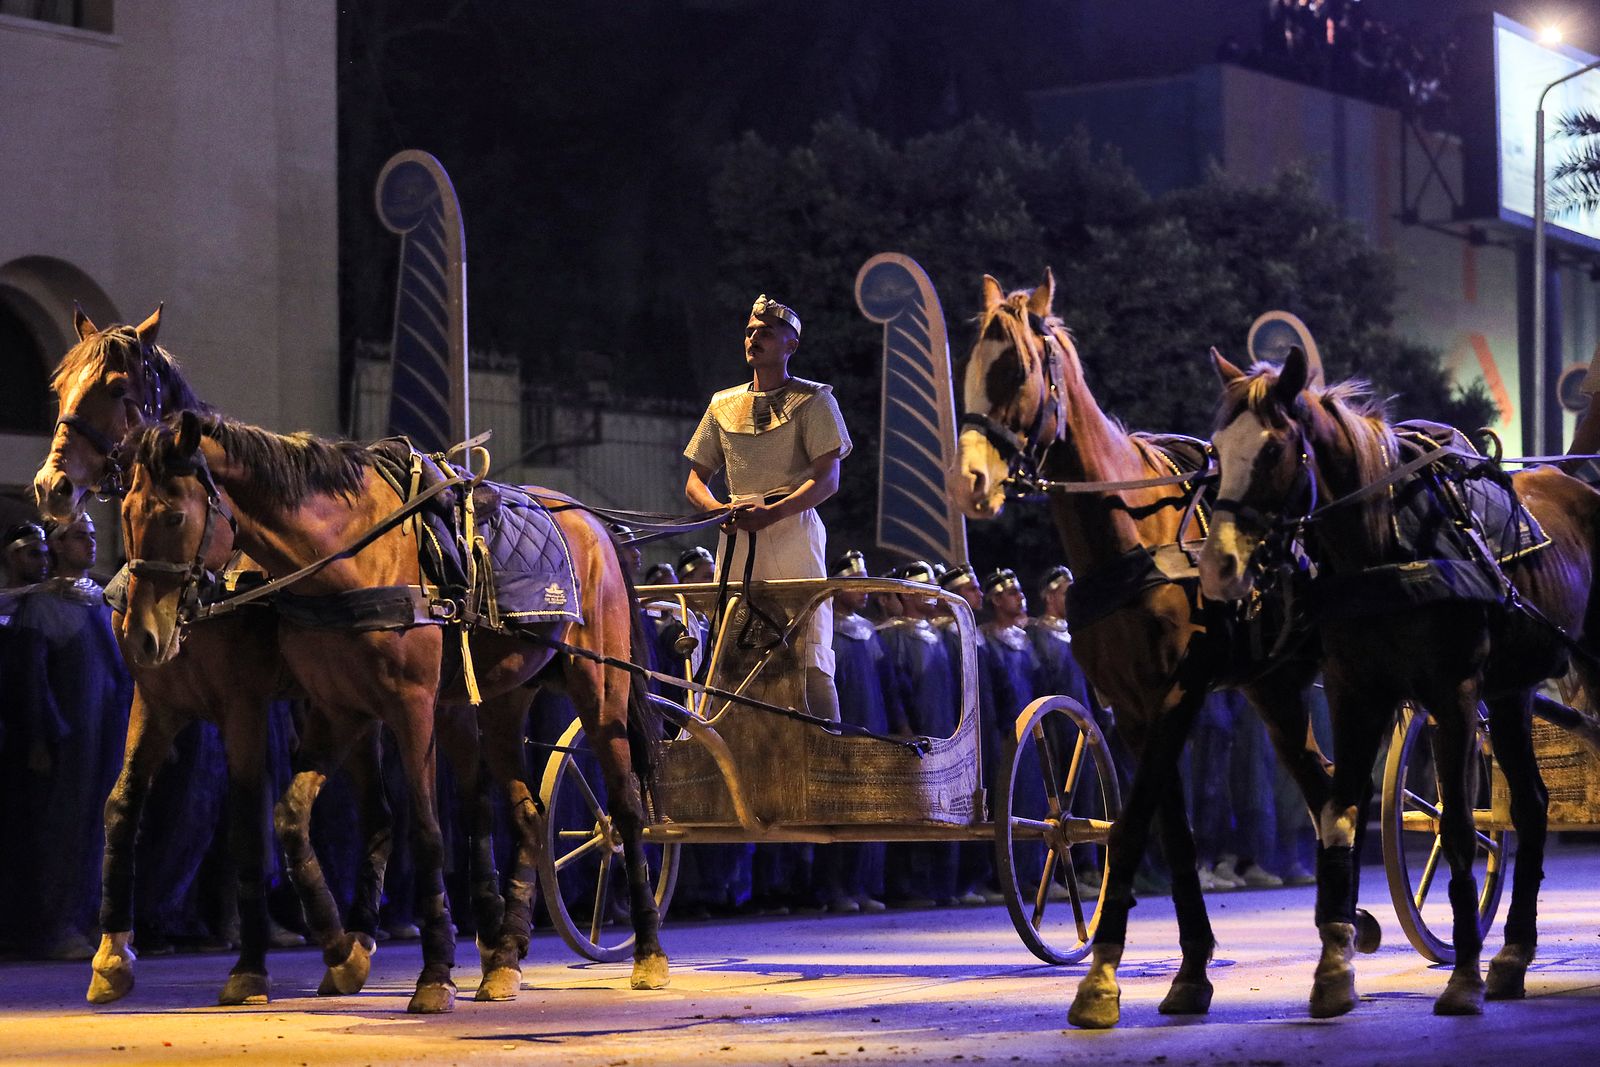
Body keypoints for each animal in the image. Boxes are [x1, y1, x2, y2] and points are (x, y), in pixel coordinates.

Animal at [121, 406, 665, 1011]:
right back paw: (503, 958)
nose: (141, 636)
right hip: (503, 702)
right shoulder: (338, 709)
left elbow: (426, 830)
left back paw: (646, 952)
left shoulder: (410, 708)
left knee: (626, 809)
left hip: (600, 688)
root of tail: (595, 525)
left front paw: (434, 972)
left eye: (173, 516)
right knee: (528, 813)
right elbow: (290, 818)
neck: (351, 556)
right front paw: (343, 951)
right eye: (124, 512)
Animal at [953, 273, 1356, 1023]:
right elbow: (1170, 828)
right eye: (967, 365)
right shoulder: (1133, 709)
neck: (1132, 538)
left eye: (1017, 368)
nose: (971, 482)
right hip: (1276, 688)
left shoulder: (1177, 693)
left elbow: (1135, 821)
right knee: (1324, 790)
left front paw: (1102, 977)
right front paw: (1191, 966)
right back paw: (1344, 925)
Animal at [1203, 350, 1593, 1017]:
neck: (1385, 550)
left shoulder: (1453, 697)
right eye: (1217, 449)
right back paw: (1513, 955)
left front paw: (1462, 978)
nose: (1219, 566)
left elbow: (1459, 829)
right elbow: (1338, 814)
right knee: (1533, 804)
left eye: (1275, 450)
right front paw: (1334, 970)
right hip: (1510, 692)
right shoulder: (1354, 696)